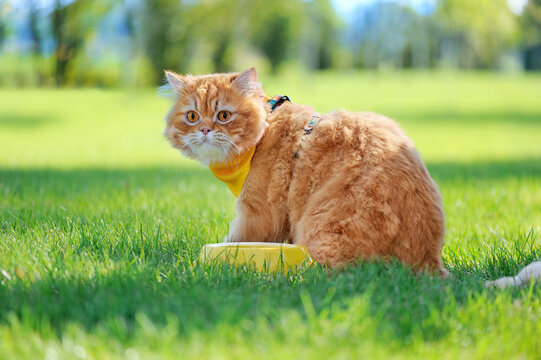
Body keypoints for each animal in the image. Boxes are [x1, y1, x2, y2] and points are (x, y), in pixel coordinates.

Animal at [163, 67, 448, 276]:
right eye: (192, 117)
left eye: (224, 115)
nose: (205, 130)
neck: (265, 130)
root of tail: (428, 262)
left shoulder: (258, 215)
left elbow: (232, 241)